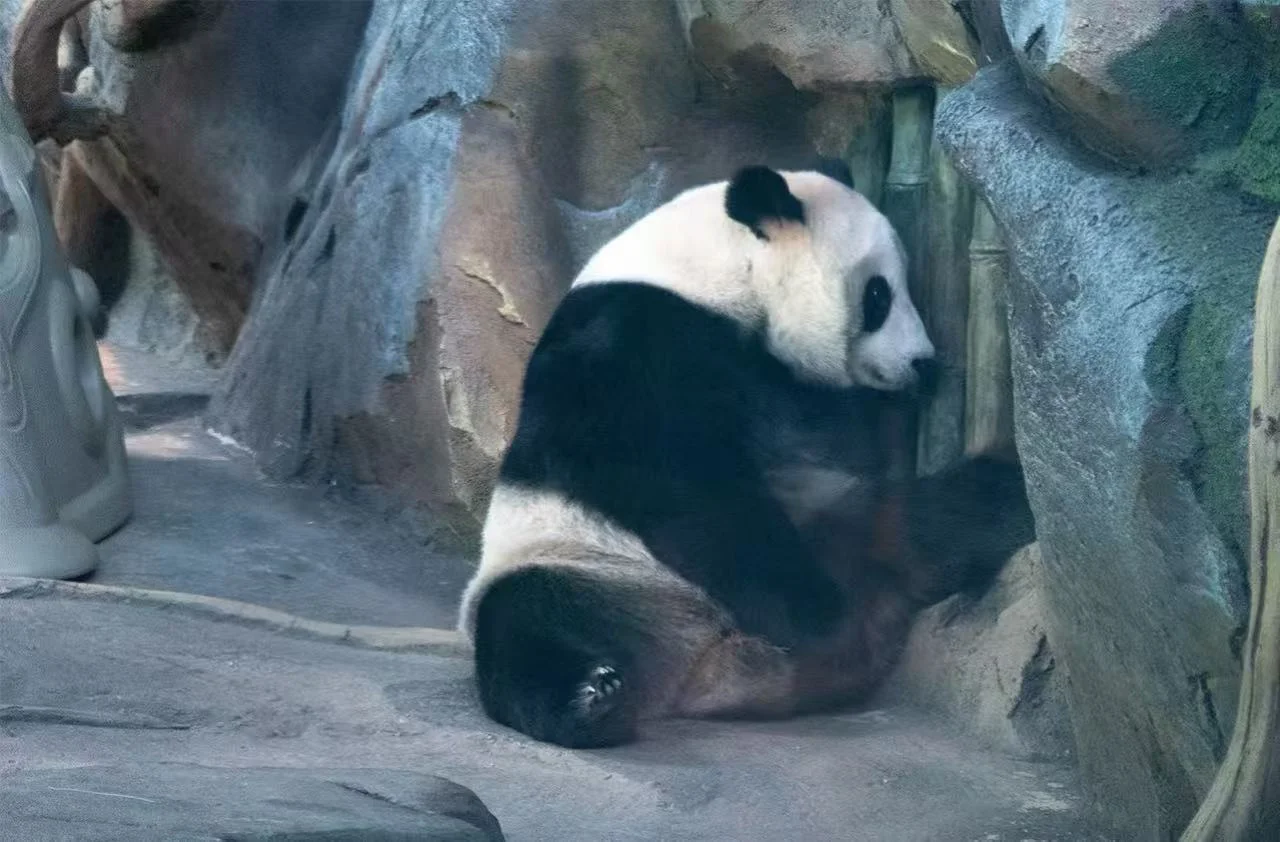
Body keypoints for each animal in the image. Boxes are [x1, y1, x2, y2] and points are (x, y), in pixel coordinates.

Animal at [457, 162, 1035, 748]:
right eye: (879, 295)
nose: (923, 364)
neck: (714, 274)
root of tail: (709, 671)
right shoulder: (629, 337)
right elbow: (673, 480)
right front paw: (812, 611)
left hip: (848, 520)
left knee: (939, 517)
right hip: (586, 567)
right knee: (524, 624)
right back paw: (589, 699)